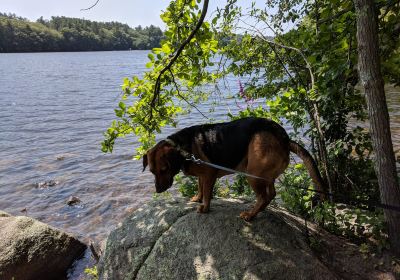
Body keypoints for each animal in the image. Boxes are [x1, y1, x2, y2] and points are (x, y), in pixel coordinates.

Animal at [142, 116, 326, 221]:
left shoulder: (209, 174)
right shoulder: (203, 176)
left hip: (253, 172)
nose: (158, 190)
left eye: (164, 169)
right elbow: (200, 188)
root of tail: (284, 138)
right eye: (151, 171)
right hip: (264, 174)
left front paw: (204, 208)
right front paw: (197, 197)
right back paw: (258, 211)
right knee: (271, 194)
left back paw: (250, 215)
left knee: (264, 196)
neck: (182, 147)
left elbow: (207, 193)